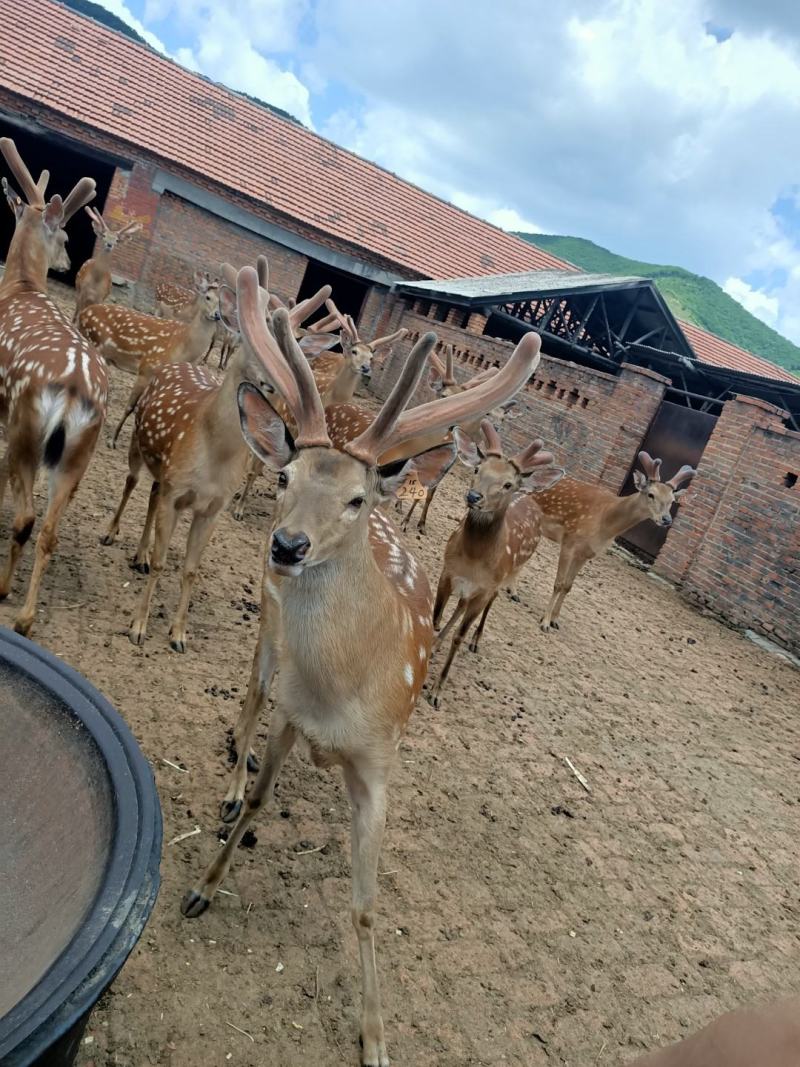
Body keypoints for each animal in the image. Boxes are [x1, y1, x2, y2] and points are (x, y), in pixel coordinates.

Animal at [100, 275, 332, 652]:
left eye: (295, 344)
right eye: (252, 338)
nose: (280, 380)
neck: (213, 458)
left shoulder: (213, 506)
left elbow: (191, 569)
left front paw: (179, 634)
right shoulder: (176, 492)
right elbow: (163, 562)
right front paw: (138, 626)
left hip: (164, 474)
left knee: (151, 494)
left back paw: (139, 556)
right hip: (139, 443)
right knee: (132, 482)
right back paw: (112, 533)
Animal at [180, 265, 541, 1067]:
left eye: (352, 496)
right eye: (284, 476)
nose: (286, 545)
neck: (340, 696)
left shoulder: (382, 759)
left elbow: (369, 905)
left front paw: (375, 1037)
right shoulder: (291, 712)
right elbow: (260, 798)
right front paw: (201, 888)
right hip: (265, 628)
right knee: (250, 691)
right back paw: (230, 776)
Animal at [426, 420, 563, 708]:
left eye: (508, 483)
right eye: (478, 469)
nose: (473, 496)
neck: (473, 560)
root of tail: (531, 496)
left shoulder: (485, 588)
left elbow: (459, 636)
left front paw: (436, 692)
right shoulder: (449, 573)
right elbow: (436, 617)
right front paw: (429, 647)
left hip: (505, 577)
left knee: (491, 603)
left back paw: (476, 641)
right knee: (460, 607)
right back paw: (437, 645)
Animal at [536, 450, 695, 633]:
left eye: (672, 501)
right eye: (651, 494)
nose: (666, 519)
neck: (605, 521)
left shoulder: (585, 553)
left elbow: (568, 586)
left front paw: (555, 621)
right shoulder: (569, 541)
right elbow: (558, 583)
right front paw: (545, 622)